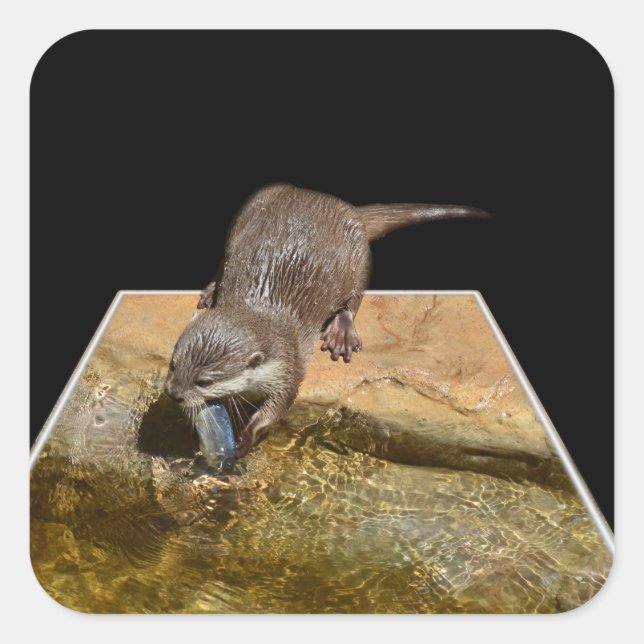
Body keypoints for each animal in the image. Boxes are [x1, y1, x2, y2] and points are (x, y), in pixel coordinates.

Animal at [164, 184, 488, 457]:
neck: (260, 310)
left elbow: (276, 408)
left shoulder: (288, 367)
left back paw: (341, 332)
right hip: (244, 217)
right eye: (173, 364)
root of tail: (343, 206)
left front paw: (245, 438)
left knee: (354, 299)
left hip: (360, 259)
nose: (172, 393)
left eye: (204, 381)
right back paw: (211, 291)